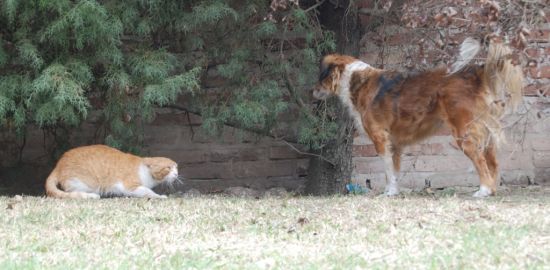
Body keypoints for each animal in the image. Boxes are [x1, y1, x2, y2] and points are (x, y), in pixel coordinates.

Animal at [46, 144, 179, 199]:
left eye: (176, 167)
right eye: (169, 168)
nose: (177, 173)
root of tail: (59, 164)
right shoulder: (129, 186)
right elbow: (147, 191)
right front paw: (159, 196)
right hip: (87, 183)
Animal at [314, 38, 528, 197]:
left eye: (321, 77)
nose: (312, 93)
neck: (356, 80)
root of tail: (473, 73)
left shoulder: (380, 138)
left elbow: (387, 170)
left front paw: (388, 193)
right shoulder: (395, 144)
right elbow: (394, 172)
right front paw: (392, 192)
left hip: (464, 133)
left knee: (481, 161)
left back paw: (483, 190)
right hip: (484, 131)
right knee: (493, 162)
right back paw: (493, 189)